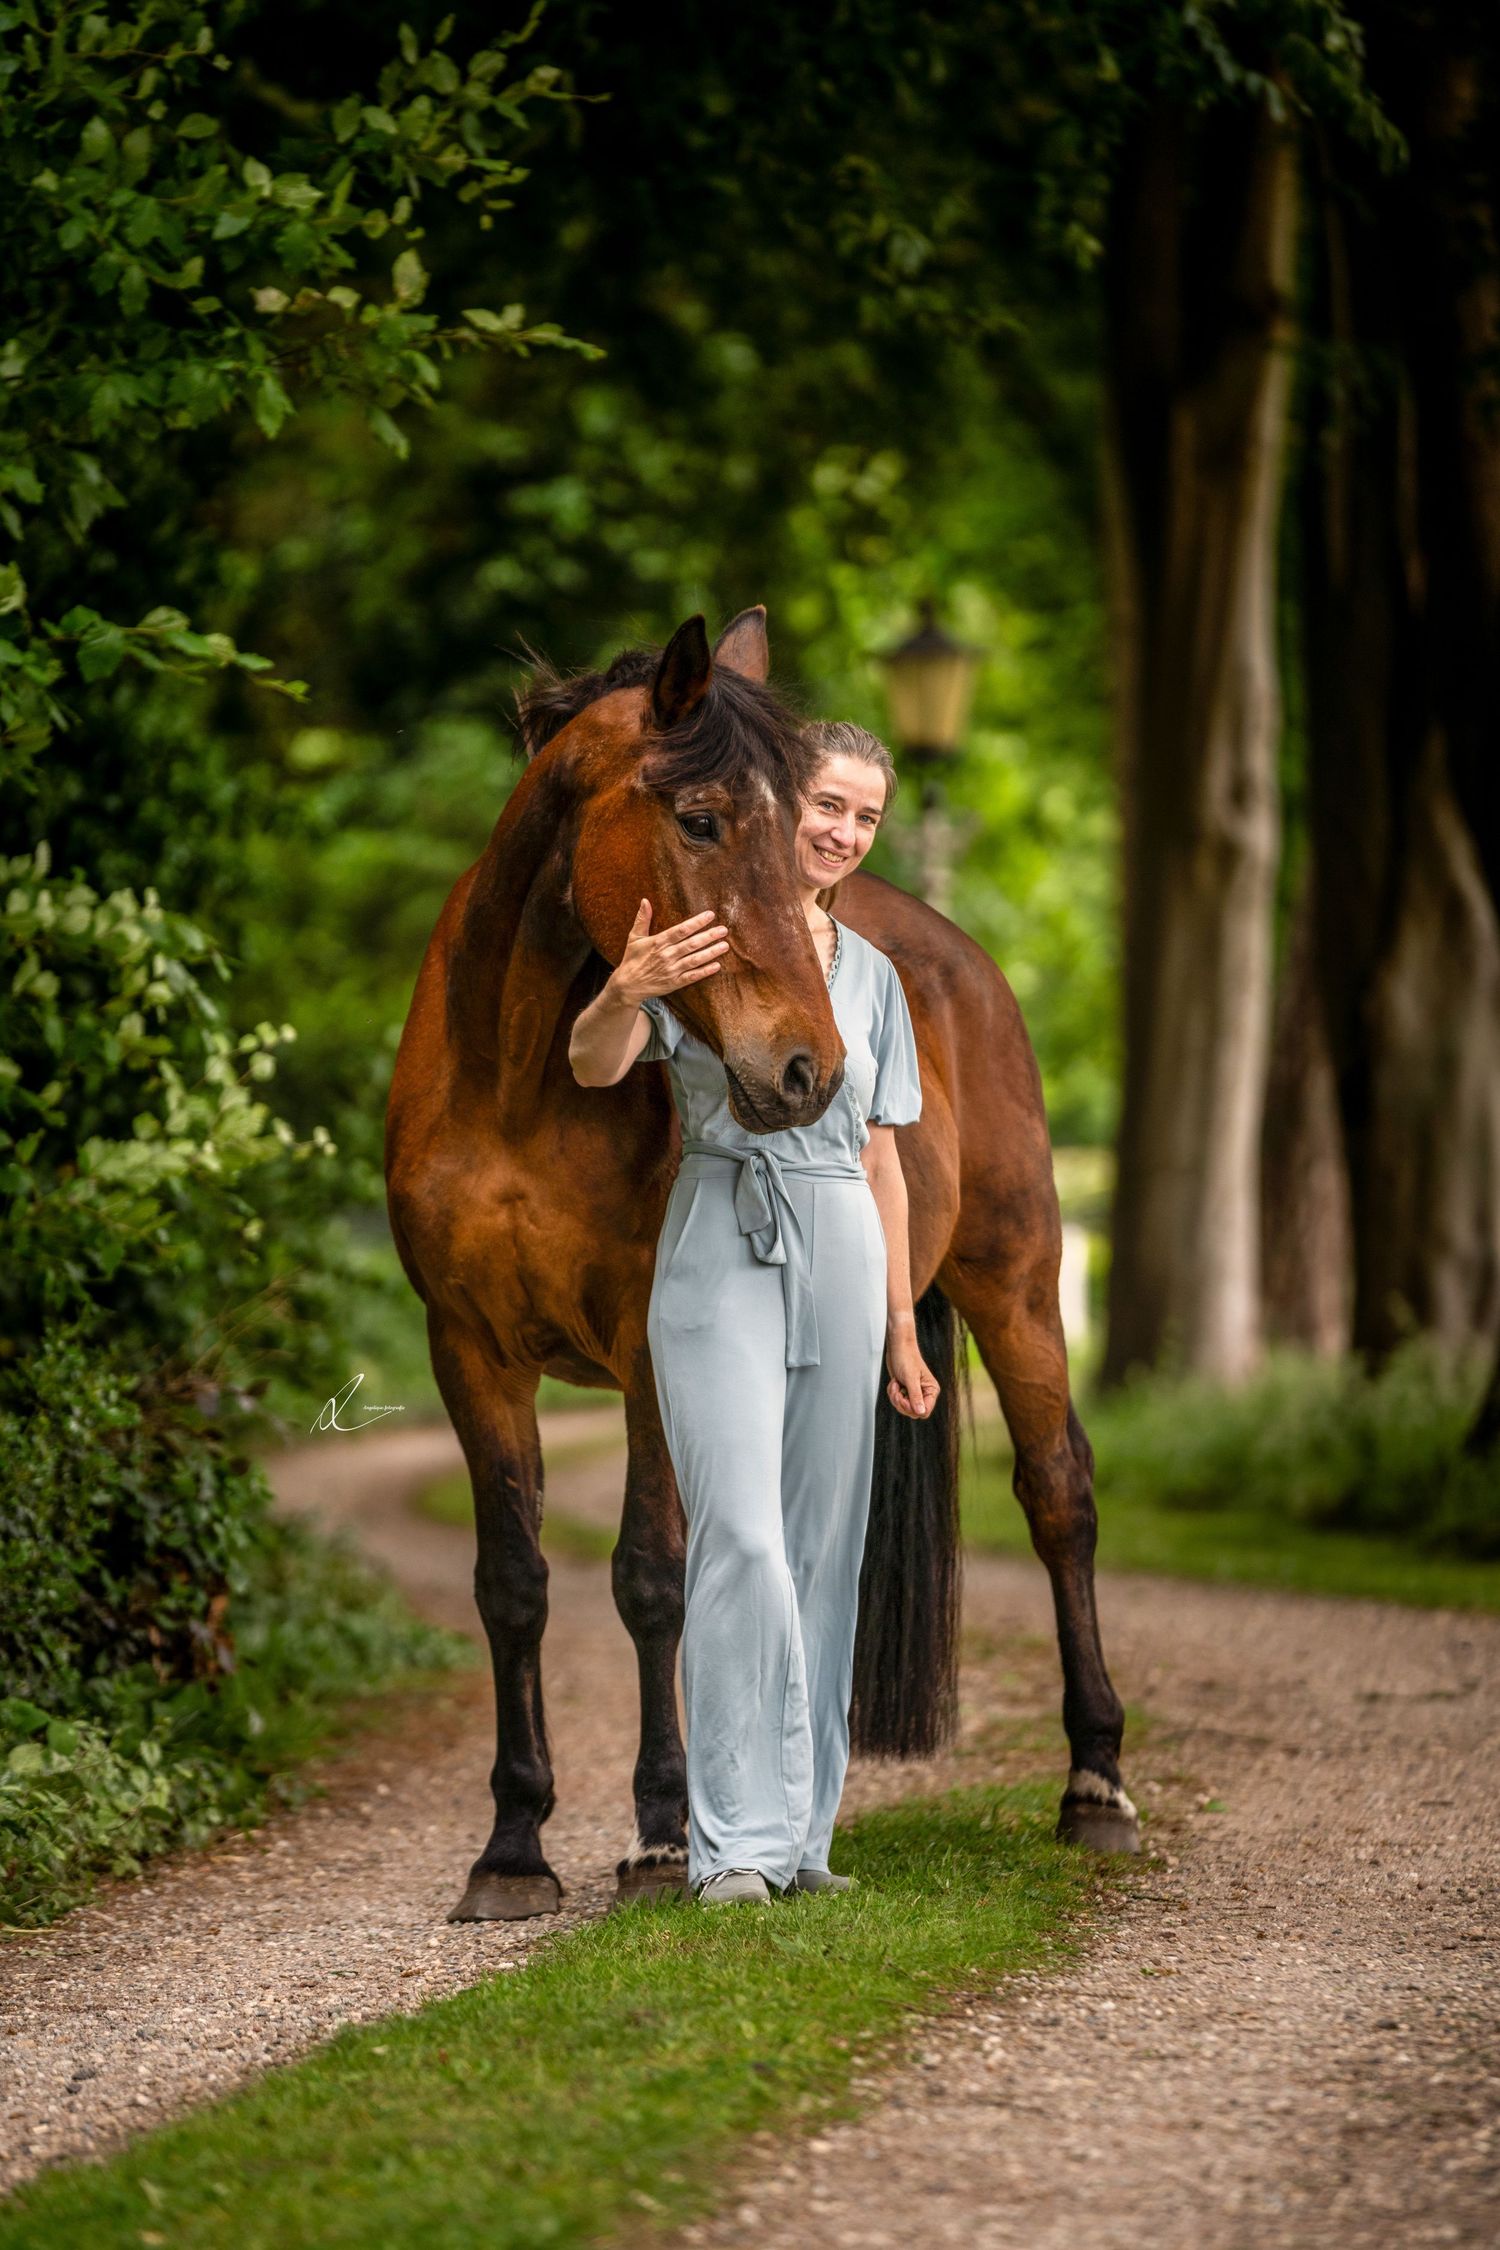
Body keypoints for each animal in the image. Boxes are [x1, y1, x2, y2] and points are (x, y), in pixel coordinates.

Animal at [385, 606, 1138, 1921]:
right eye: (699, 820)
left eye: (795, 830)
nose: (808, 1073)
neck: (516, 1080)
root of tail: (958, 957)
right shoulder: (468, 1351)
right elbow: (512, 1584)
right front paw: (514, 1848)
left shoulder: (644, 1350)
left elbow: (649, 1578)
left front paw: (654, 1837)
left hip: (1020, 1290)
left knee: (1061, 1498)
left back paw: (1093, 1784)